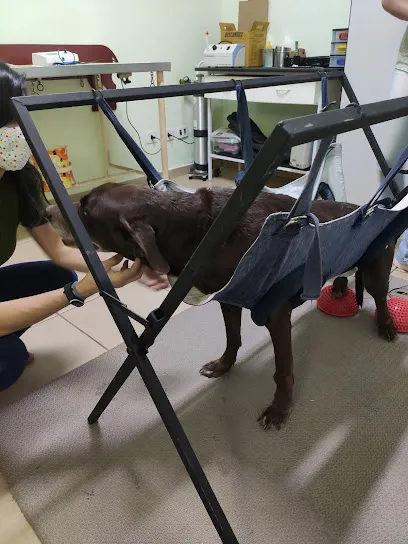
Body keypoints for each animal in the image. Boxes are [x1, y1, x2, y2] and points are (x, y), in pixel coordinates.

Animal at [47, 185, 396, 432]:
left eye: (86, 209)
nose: (47, 211)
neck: (198, 234)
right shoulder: (228, 298)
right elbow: (232, 338)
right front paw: (223, 366)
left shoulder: (275, 314)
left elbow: (282, 369)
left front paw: (279, 410)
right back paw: (337, 288)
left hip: (378, 265)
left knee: (380, 297)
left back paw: (387, 325)